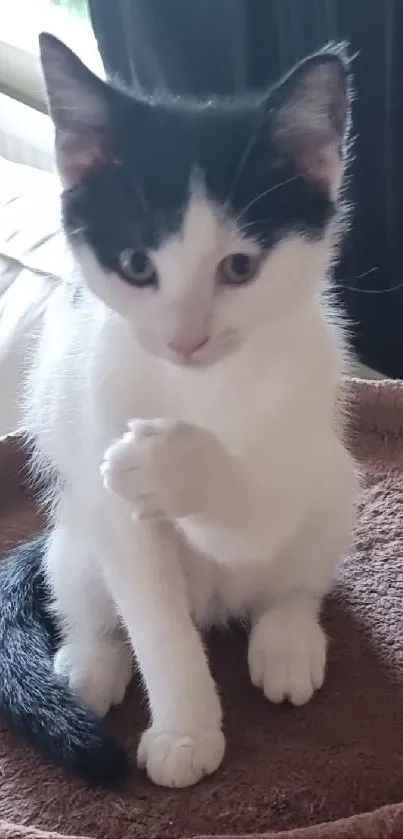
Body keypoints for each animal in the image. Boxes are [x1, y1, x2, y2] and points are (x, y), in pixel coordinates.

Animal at [0, 34, 360, 788]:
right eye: (137, 265)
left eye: (239, 268)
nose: (185, 339)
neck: (198, 387)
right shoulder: (105, 472)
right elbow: (155, 622)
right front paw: (187, 731)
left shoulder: (294, 430)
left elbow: (256, 511)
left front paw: (173, 465)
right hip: (74, 526)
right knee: (86, 591)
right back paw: (89, 660)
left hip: (332, 489)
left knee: (293, 577)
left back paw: (287, 640)